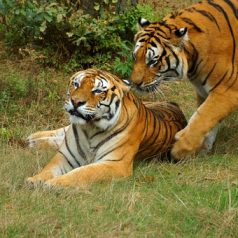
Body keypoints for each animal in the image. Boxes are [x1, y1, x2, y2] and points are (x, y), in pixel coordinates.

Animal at [26, 69, 186, 188]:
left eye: (97, 91)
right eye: (76, 84)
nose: (76, 102)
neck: (89, 128)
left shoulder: (115, 163)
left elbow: (82, 172)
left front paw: (54, 183)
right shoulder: (65, 156)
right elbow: (48, 169)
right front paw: (34, 180)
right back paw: (32, 138)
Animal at [130, 0, 238, 161]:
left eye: (153, 61)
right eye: (135, 57)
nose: (134, 83)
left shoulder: (228, 90)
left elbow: (203, 118)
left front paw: (180, 149)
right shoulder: (204, 90)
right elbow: (205, 118)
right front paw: (203, 149)